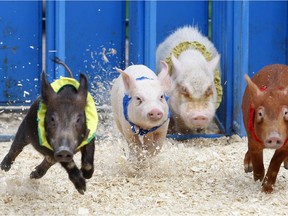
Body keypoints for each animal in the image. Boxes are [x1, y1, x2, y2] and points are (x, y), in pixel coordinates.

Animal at [0, 66, 98, 194]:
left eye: (78, 119)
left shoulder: (90, 136)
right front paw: (82, 188)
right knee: (16, 147)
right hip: (24, 129)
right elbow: (68, 163)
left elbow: (88, 161)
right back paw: (4, 167)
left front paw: (86, 175)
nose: (64, 149)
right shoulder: (51, 148)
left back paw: (33, 175)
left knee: (48, 161)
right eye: (52, 118)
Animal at [242, 63, 288, 192]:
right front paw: (257, 181)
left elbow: (275, 165)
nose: (274, 137)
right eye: (260, 113)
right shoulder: (252, 138)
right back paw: (248, 167)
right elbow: (257, 161)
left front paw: (267, 190)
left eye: (286, 113)